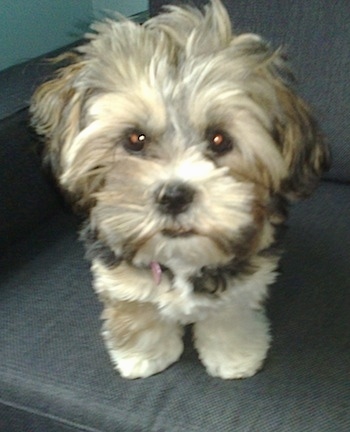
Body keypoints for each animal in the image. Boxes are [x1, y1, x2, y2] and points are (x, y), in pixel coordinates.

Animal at [30, 0, 328, 378]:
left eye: (219, 140)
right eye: (135, 139)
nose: (173, 196)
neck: (180, 255)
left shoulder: (246, 282)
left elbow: (230, 315)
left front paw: (235, 355)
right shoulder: (117, 277)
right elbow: (136, 310)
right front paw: (143, 355)